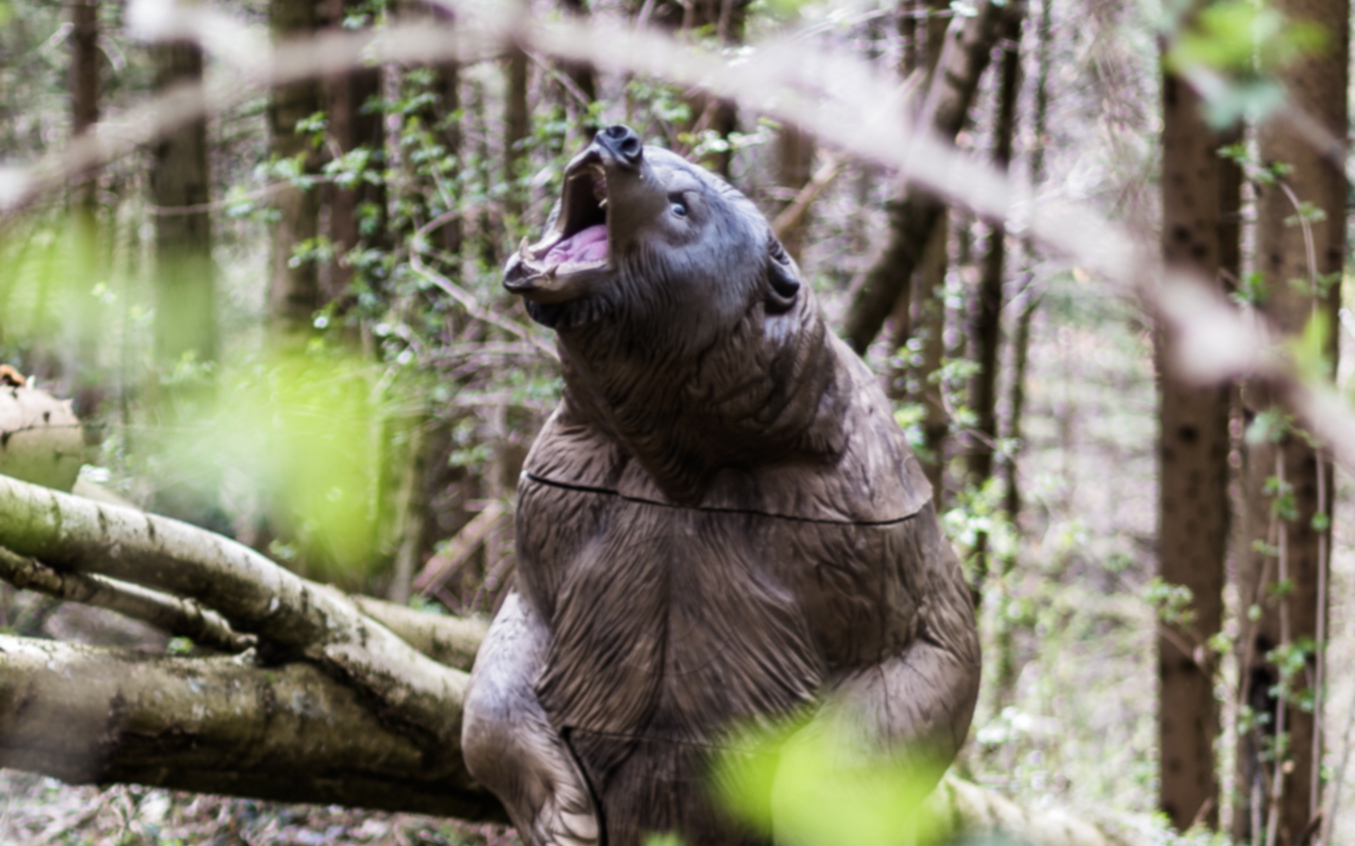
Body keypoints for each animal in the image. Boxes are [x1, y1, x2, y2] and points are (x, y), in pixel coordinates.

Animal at [460, 125, 981, 846]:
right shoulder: (561, 487)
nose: (617, 139)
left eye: (683, 205)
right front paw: (563, 815)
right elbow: (516, 638)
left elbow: (925, 652)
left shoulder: (857, 520)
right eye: (667, 164)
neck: (682, 460)